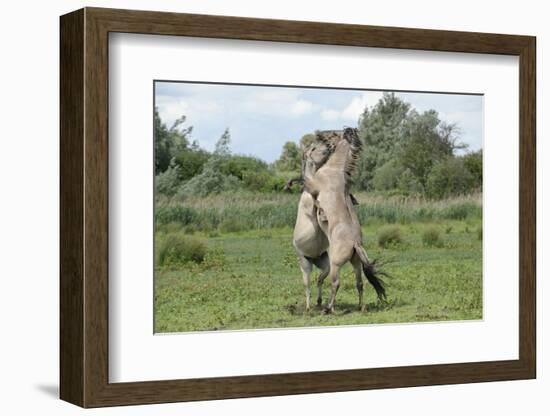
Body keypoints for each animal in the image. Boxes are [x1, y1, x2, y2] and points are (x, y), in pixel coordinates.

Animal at [292, 128, 386, 314]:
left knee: (335, 283)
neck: (335, 170)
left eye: (333, 134)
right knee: (359, 283)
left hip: (335, 264)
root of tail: (355, 244)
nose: (319, 134)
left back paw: (329, 308)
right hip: (356, 263)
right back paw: (361, 306)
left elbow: (305, 183)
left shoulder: (313, 186)